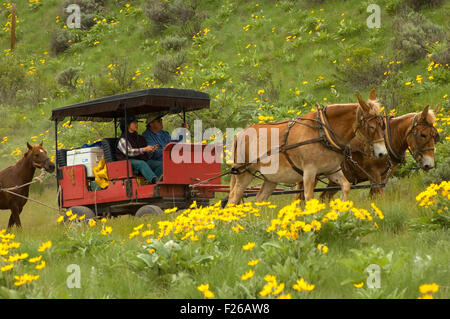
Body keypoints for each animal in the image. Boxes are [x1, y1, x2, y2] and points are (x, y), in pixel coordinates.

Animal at [229, 90, 386, 205]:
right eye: (372, 127)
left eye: (383, 124)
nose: (382, 153)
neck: (323, 133)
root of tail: (240, 134)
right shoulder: (309, 172)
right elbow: (309, 197)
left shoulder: (331, 170)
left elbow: (346, 186)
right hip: (245, 173)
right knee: (233, 199)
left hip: (270, 178)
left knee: (260, 199)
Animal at [296, 105, 440, 201]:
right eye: (423, 135)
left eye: (435, 136)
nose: (429, 164)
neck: (387, 139)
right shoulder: (374, 175)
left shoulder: (382, 178)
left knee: (322, 197)